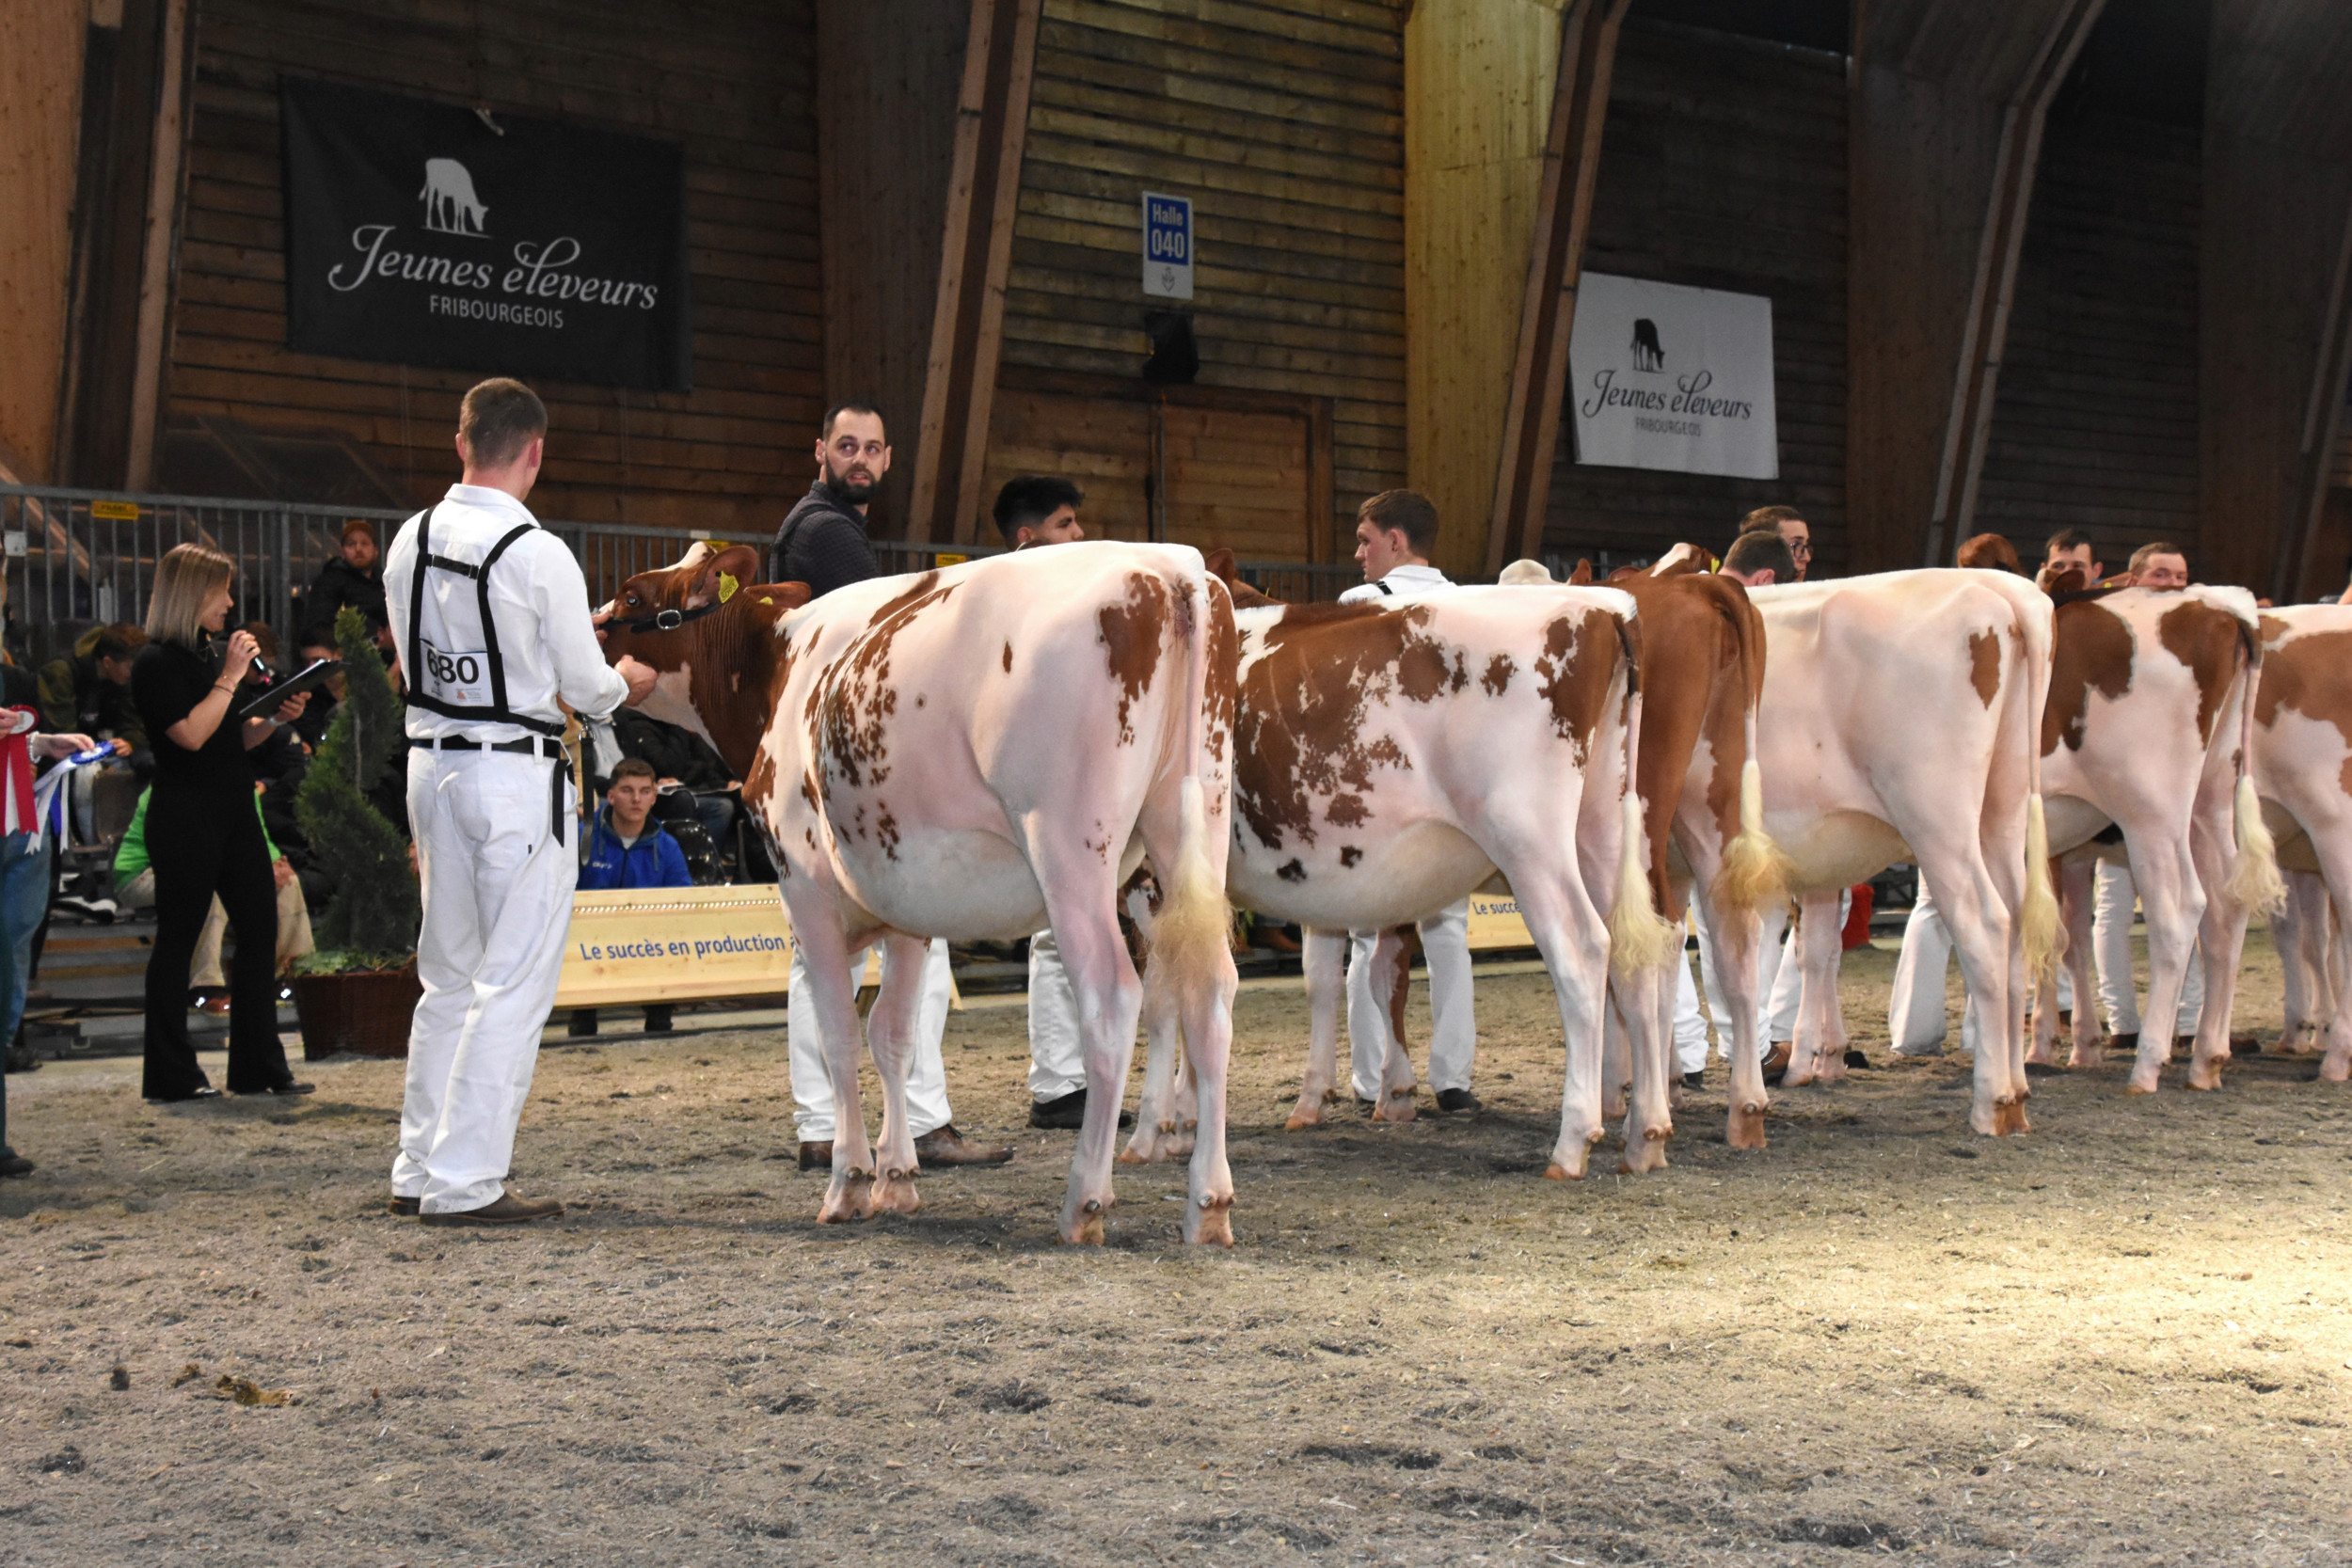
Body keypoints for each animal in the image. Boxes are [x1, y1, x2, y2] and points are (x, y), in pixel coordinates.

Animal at [594, 541, 1242, 1244]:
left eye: (632, 595)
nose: (594, 634)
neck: (779, 664)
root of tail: (1169, 569)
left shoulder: (803, 886)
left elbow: (838, 1035)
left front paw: (849, 1181)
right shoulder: (904, 902)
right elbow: (893, 1034)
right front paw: (898, 1178)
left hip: (1071, 846)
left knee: (1114, 996)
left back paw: (1084, 1200)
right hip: (1193, 819)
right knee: (1210, 990)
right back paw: (1208, 1201)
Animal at [1126, 583, 1680, 1180]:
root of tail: (1603, 607)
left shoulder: (1151, 878)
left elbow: (1162, 999)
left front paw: (1153, 1130)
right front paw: (1184, 1119)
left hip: (1529, 839)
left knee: (1584, 951)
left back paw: (1574, 1141)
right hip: (1604, 828)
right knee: (1636, 951)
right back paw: (1646, 1136)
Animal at [1746, 570, 2058, 1136]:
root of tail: (1997, 587)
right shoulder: (1820, 859)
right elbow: (1818, 951)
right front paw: (1818, 1059)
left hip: (1937, 816)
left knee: (1985, 922)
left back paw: (1991, 1102)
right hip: (2001, 811)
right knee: (2018, 922)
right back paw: (2018, 1091)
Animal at [2030, 585, 2282, 1092]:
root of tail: (2212, 602)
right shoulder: (2061, 850)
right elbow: (2065, 936)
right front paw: (2070, 1044)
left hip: (2152, 813)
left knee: (2180, 911)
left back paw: (2147, 1064)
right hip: (2209, 801)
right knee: (2226, 908)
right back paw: (2207, 1059)